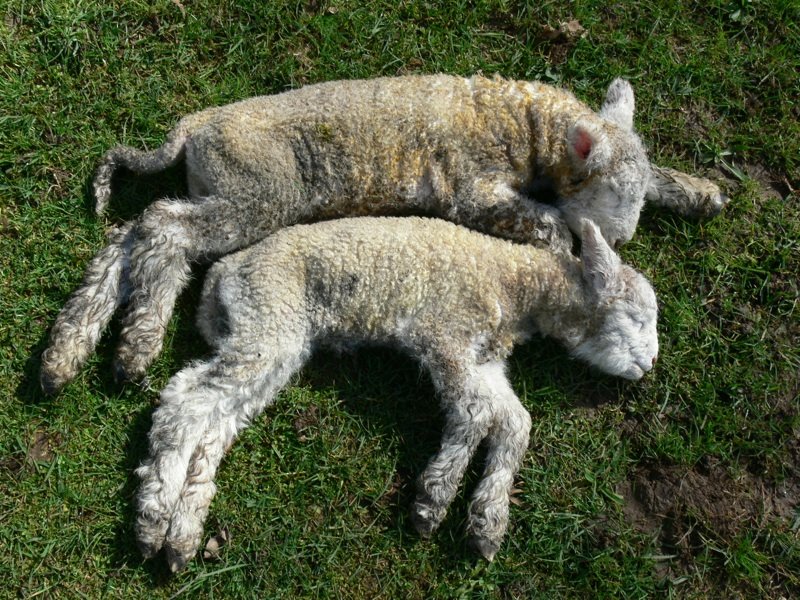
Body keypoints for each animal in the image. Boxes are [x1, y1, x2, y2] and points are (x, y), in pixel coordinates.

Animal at [39, 74, 716, 393]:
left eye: (635, 194)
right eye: (612, 195)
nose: (623, 240)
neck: (516, 122)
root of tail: (195, 125)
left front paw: (698, 191)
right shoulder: (471, 187)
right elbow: (544, 222)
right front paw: (568, 249)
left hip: (221, 189)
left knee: (132, 229)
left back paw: (67, 349)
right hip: (254, 194)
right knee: (165, 231)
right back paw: (136, 347)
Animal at [134, 215, 659, 571]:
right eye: (637, 317)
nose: (649, 364)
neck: (514, 288)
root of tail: (221, 274)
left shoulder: (485, 360)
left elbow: (514, 420)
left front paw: (488, 521)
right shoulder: (447, 334)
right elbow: (475, 414)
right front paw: (434, 498)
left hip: (268, 338)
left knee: (214, 421)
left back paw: (182, 535)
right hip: (268, 318)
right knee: (185, 401)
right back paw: (152, 518)